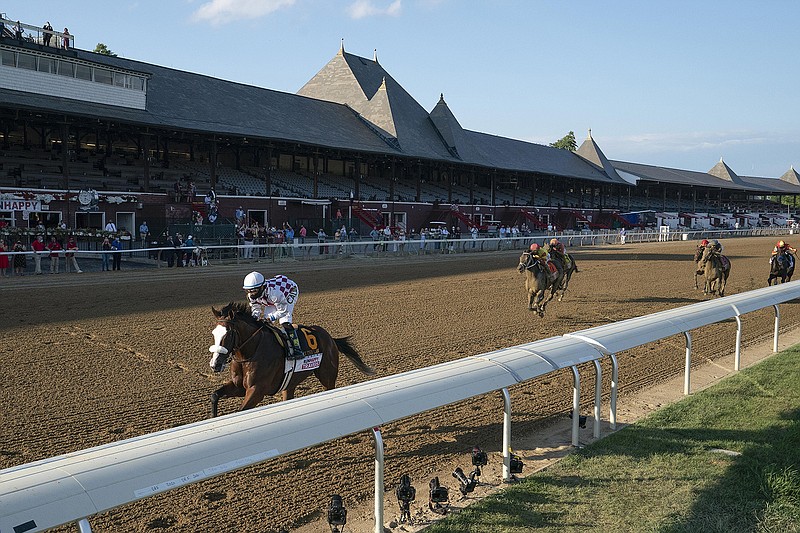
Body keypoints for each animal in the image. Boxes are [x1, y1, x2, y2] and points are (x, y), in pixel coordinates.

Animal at [211, 302, 376, 418]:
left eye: (228, 334)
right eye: (213, 333)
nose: (215, 364)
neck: (250, 353)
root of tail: (330, 338)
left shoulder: (257, 390)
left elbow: (242, 410)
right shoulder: (239, 386)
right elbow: (215, 395)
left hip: (327, 376)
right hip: (290, 383)